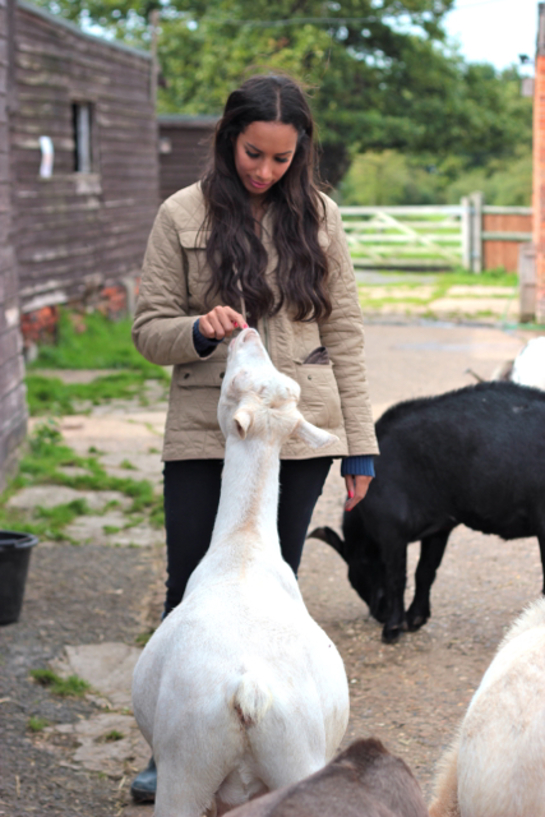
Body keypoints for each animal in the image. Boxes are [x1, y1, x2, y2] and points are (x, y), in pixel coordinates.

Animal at [131, 326, 348, 816]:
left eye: (233, 381)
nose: (245, 331)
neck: (245, 543)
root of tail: (249, 693)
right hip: (294, 761)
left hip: (186, 767)